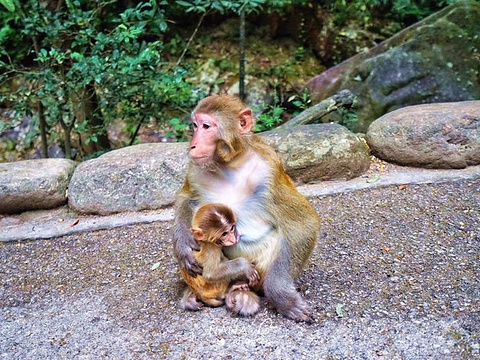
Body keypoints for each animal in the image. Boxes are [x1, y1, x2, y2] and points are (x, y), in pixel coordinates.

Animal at [174, 94, 320, 322]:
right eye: (195, 125)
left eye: (206, 126)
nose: (193, 146)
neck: (229, 164)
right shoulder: (195, 169)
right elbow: (186, 198)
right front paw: (182, 244)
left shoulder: (269, 171)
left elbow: (303, 223)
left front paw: (283, 298)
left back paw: (242, 292)